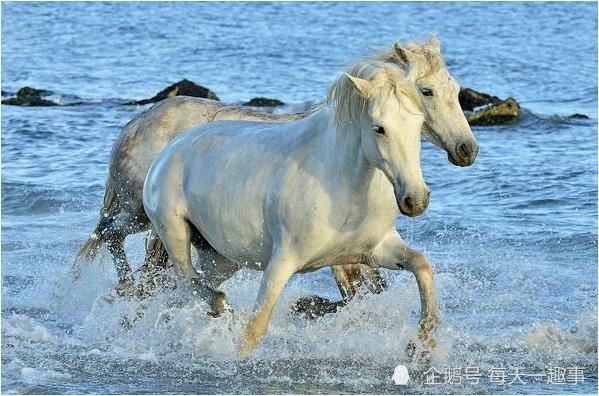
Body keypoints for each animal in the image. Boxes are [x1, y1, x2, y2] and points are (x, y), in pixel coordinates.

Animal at [142, 58, 438, 356]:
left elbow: (422, 265)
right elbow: (255, 329)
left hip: (222, 259)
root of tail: (166, 154)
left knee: (181, 290)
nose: (416, 199)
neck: (342, 185)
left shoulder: (375, 250)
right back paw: (219, 307)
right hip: (175, 234)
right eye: (379, 128)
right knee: (188, 281)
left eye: (418, 124)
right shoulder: (283, 260)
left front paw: (424, 344)